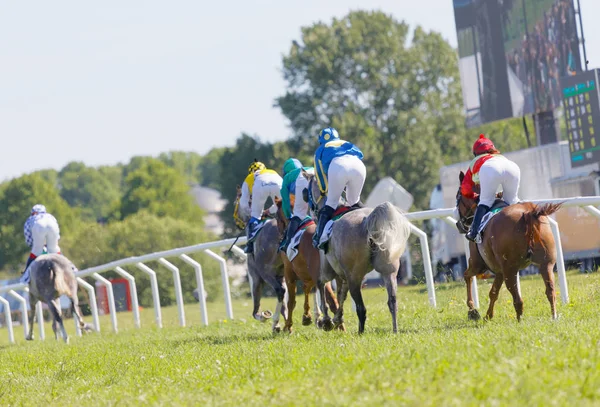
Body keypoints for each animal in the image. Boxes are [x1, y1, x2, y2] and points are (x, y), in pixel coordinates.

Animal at [274, 199, 340, 334]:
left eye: (276, 217)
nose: (280, 235)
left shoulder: (289, 273)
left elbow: (291, 301)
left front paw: (288, 326)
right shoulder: (308, 276)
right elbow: (306, 289)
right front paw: (306, 316)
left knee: (329, 298)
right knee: (334, 300)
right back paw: (339, 326)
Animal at [304, 171, 412, 334]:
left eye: (306, 192)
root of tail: (367, 222)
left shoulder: (328, 269)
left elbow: (322, 285)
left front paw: (327, 321)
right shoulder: (342, 274)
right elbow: (341, 294)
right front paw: (336, 319)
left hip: (355, 276)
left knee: (361, 308)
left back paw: (360, 333)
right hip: (389, 270)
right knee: (392, 301)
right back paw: (395, 330)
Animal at [458, 171, 564, 324]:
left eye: (458, 197)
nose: (459, 224)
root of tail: (528, 213)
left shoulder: (478, 264)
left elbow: (467, 276)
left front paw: (472, 310)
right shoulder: (499, 270)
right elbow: (493, 292)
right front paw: (488, 315)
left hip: (510, 269)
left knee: (518, 299)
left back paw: (519, 320)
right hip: (546, 263)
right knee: (550, 291)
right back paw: (553, 316)